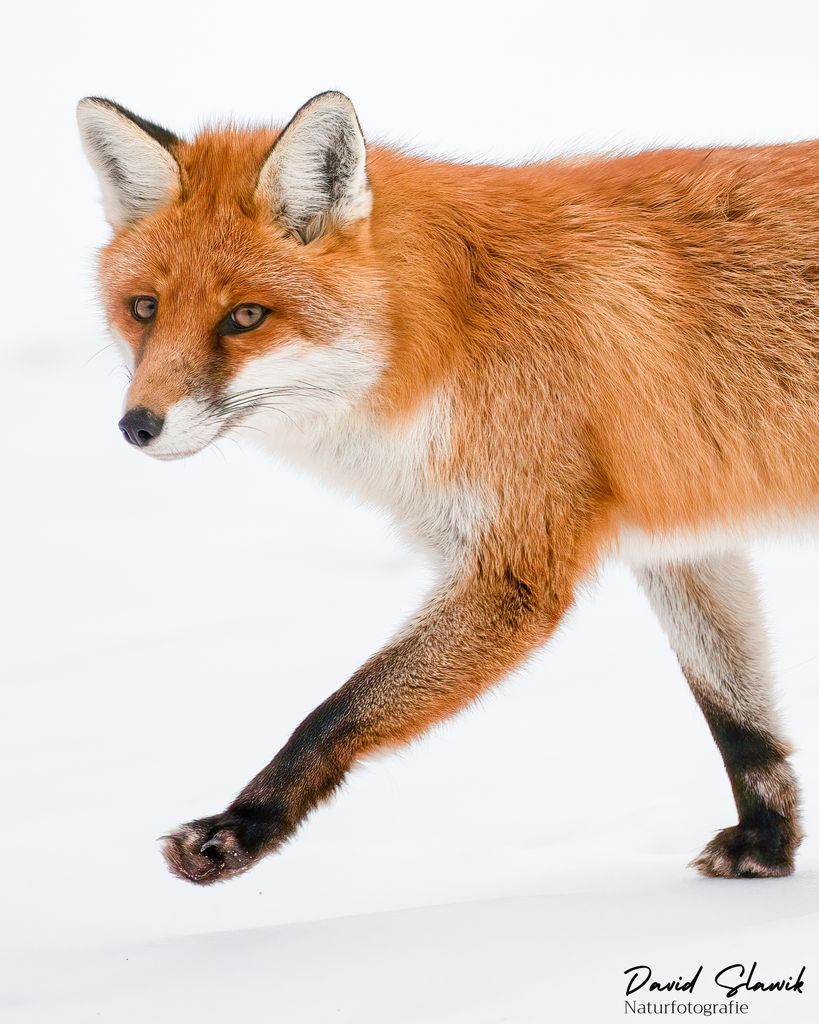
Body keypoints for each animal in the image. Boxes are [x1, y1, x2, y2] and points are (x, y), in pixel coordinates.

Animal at [76, 91, 818, 885]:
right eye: (145, 308)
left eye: (245, 316)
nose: (137, 426)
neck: (454, 329)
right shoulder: (679, 541)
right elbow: (735, 717)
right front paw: (767, 844)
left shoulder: (512, 572)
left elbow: (338, 710)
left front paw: (242, 827)